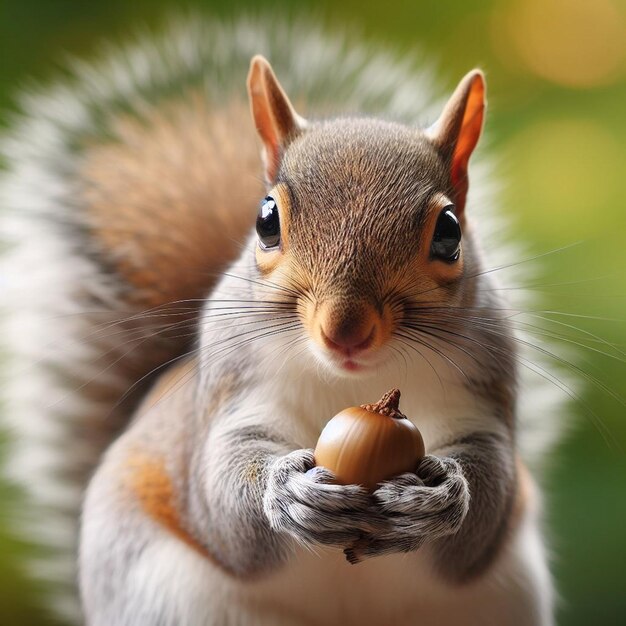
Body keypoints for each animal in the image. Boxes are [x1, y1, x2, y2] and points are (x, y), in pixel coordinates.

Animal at [0, 14, 560, 624]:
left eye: (450, 233)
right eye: (266, 220)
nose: (345, 331)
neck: (355, 386)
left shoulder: (486, 395)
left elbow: (485, 507)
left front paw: (440, 496)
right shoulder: (231, 397)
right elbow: (225, 500)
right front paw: (287, 492)